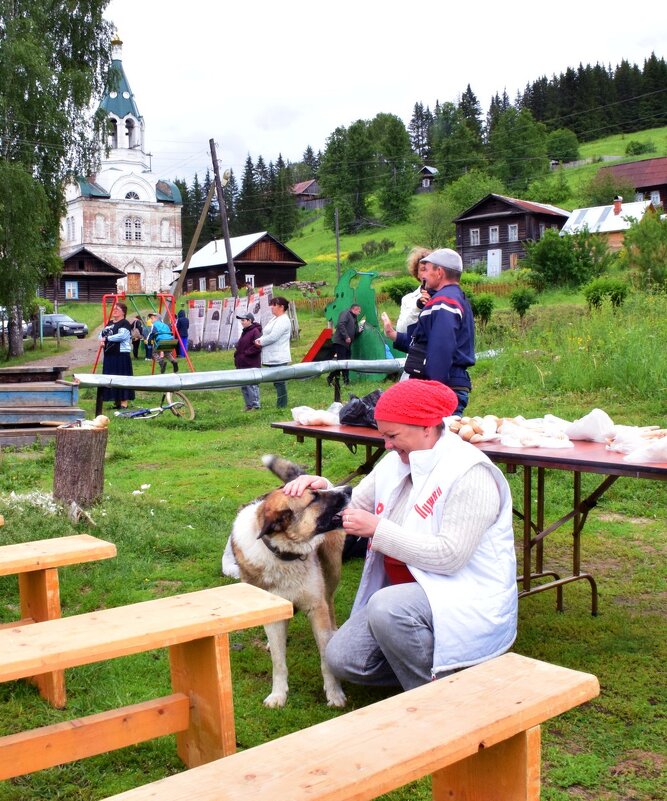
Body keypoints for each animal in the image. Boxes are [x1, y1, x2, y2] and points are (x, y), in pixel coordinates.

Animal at [223, 456, 352, 708]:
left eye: (317, 491)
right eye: (314, 498)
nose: (349, 489)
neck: (284, 554)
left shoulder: (316, 607)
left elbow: (325, 658)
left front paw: (334, 693)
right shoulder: (274, 610)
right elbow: (278, 662)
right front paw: (278, 695)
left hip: (331, 572)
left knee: (330, 603)